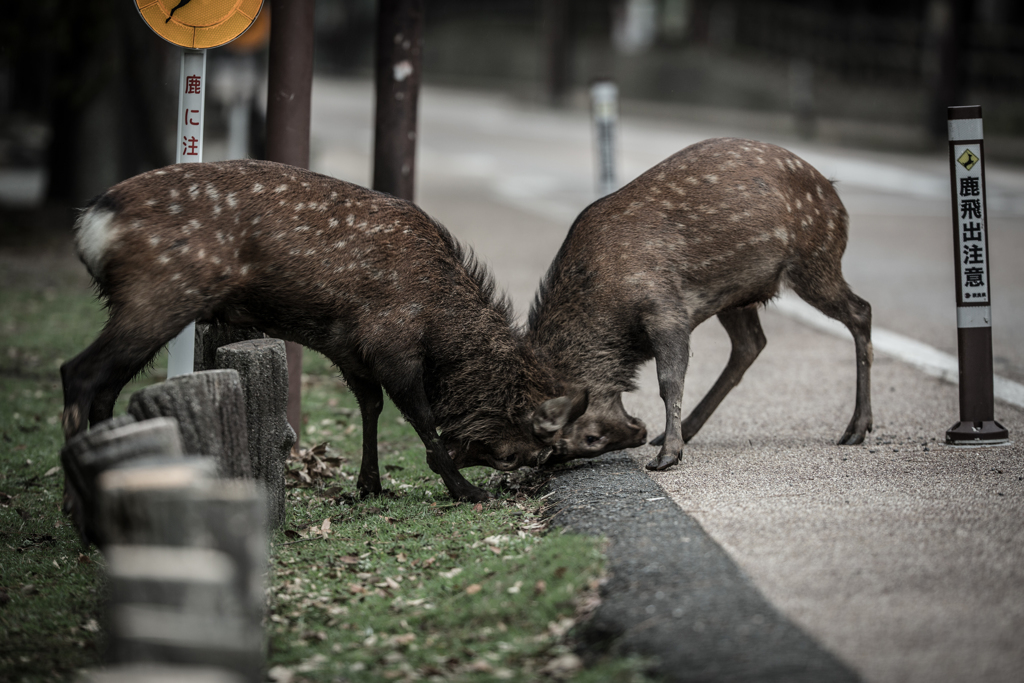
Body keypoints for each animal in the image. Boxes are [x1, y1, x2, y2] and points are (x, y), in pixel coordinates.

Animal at [59, 157, 643, 505]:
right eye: (523, 451)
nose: (527, 470)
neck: (437, 320)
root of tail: (90, 224)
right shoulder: (391, 342)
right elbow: (420, 418)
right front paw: (462, 489)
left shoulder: (349, 349)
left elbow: (370, 407)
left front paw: (369, 486)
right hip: (159, 294)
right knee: (78, 372)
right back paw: (77, 502)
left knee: (107, 385)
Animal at [528, 137, 872, 471]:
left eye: (592, 437)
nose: (639, 433)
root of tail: (833, 191)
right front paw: (670, 444)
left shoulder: (665, 309)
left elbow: (669, 381)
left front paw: (668, 455)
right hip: (738, 294)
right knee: (751, 343)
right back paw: (688, 429)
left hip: (814, 260)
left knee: (861, 310)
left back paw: (857, 428)